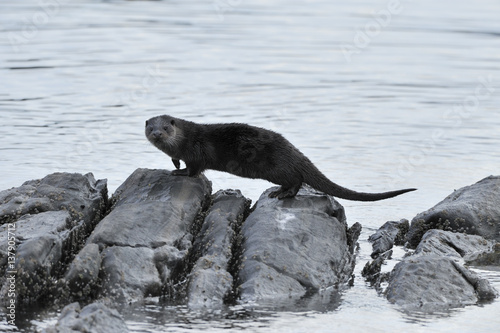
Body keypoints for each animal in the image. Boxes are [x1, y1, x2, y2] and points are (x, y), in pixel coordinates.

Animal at [146, 115, 416, 200]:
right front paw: (174, 164)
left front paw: (179, 172)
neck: (184, 141)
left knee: (297, 180)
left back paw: (283, 193)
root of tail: (294, 153)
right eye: (151, 128)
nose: (157, 133)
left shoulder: (196, 152)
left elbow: (194, 169)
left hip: (275, 168)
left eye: (166, 128)